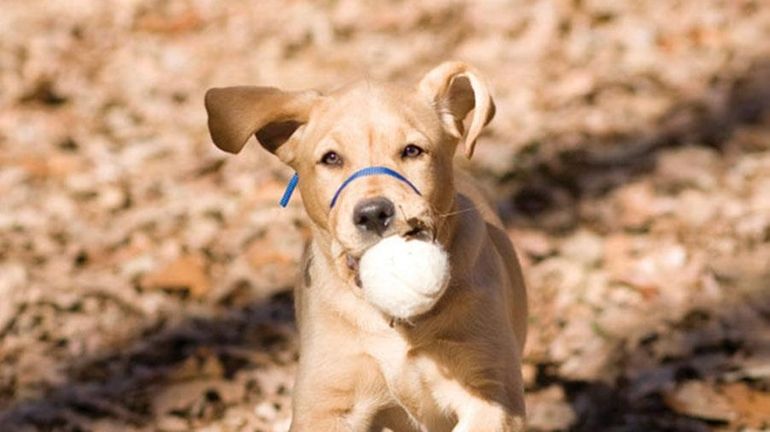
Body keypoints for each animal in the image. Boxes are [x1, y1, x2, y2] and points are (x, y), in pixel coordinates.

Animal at [204, 61, 528, 432]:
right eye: (331, 158)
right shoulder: (326, 404)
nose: (373, 213)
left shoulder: (492, 392)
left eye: (412, 151)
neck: (393, 321)